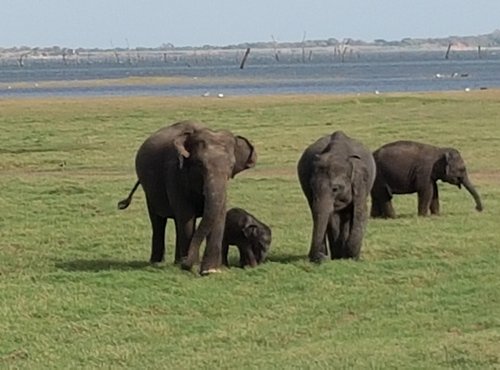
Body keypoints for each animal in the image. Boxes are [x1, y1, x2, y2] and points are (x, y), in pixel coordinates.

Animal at [117, 121, 256, 274]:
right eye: (200, 164)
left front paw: (210, 271)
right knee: (158, 221)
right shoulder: (175, 173)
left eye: (231, 167)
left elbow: (219, 216)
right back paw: (158, 262)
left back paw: (176, 261)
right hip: (149, 189)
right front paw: (192, 266)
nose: (186, 262)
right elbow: (187, 217)